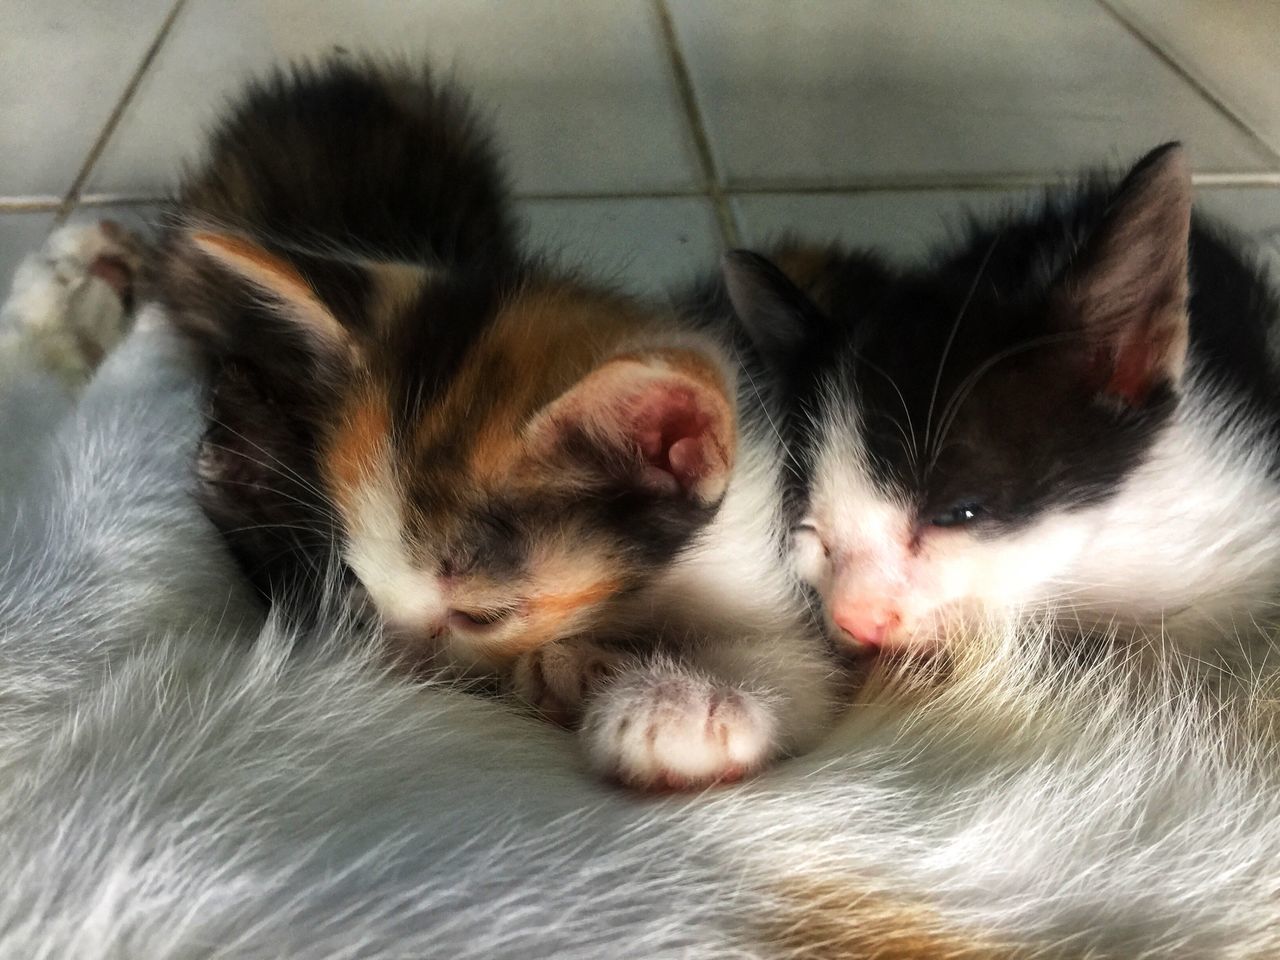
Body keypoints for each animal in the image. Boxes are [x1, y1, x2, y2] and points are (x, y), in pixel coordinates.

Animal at [157, 60, 839, 793]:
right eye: (361, 584)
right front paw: (577, 672)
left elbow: (802, 669)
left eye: (481, 615)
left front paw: (684, 706)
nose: (401, 669)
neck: (648, 592)